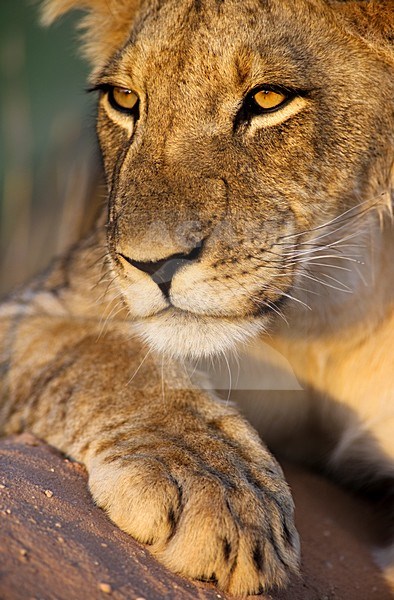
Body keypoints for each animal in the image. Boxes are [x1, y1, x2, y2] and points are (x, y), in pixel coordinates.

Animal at [0, 1, 392, 596]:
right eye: (125, 99)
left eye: (269, 99)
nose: (150, 264)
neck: (331, 314)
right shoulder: (36, 304)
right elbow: (105, 359)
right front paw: (214, 489)